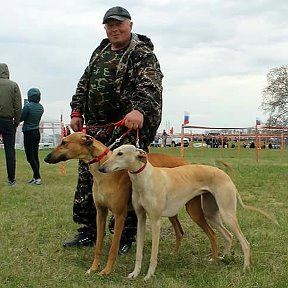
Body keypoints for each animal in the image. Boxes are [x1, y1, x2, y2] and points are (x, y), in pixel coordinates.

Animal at [44, 132, 217, 276]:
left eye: (64, 142)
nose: (46, 158)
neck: (103, 172)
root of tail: (185, 161)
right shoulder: (101, 213)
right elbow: (98, 245)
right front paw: (93, 268)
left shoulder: (120, 215)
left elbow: (113, 248)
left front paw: (106, 270)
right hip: (170, 210)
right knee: (180, 231)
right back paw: (174, 254)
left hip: (192, 210)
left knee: (212, 233)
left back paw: (214, 258)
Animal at [99, 145, 280, 280]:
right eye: (113, 152)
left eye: (120, 153)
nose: (101, 168)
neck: (145, 178)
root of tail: (225, 175)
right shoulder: (141, 218)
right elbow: (139, 252)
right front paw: (135, 273)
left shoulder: (156, 220)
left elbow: (153, 255)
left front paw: (149, 275)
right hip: (211, 214)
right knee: (228, 236)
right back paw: (223, 258)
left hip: (226, 213)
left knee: (245, 242)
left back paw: (245, 267)